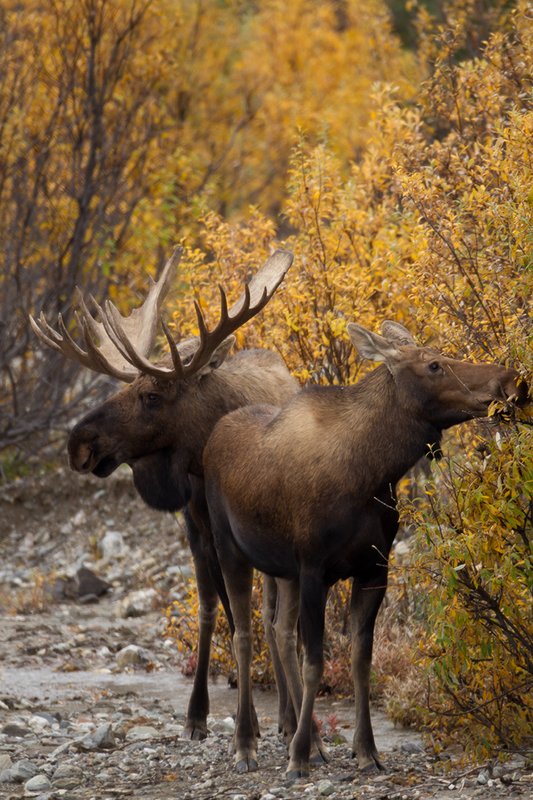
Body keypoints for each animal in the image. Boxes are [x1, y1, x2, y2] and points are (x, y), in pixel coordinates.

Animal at [30, 246, 301, 743]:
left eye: (152, 396)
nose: (78, 443)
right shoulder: (199, 530)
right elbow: (214, 611)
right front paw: (201, 715)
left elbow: (259, 619)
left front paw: (269, 721)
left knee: (272, 613)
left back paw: (290, 716)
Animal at [203, 319, 528, 778]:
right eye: (433, 364)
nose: (511, 380)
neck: (373, 474)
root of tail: (213, 435)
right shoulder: (314, 569)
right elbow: (315, 664)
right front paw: (298, 757)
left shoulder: (374, 567)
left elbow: (361, 661)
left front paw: (365, 750)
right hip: (228, 546)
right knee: (244, 636)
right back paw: (247, 745)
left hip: (280, 569)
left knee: (279, 632)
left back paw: (313, 741)